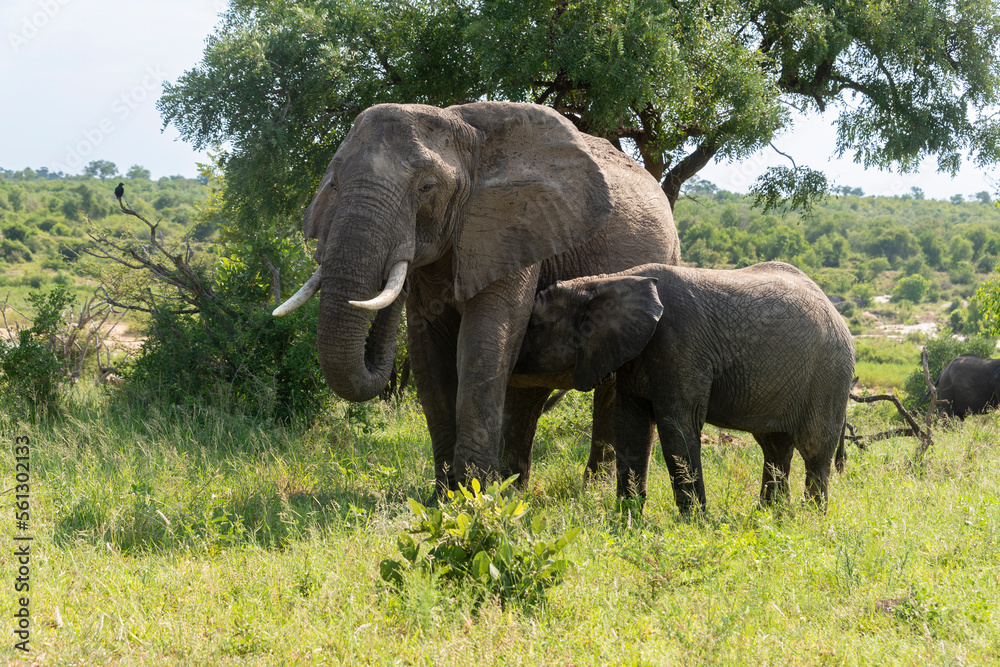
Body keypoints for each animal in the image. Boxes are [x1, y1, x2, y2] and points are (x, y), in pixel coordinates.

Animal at [273, 102, 681, 491]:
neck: (461, 130)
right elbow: (429, 354)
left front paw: (473, 497)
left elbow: (485, 341)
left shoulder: (514, 227)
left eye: (427, 187)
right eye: (333, 184)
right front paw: (444, 497)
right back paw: (516, 486)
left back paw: (590, 490)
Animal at [514, 262, 856, 512]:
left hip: (829, 373)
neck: (607, 281)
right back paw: (771, 517)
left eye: (533, 325)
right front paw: (627, 520)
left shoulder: (680, 346)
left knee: (814, 450)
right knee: (775, 448)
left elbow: (677, 426)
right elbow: (630, 426)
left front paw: (694, 524)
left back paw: (810, 519)